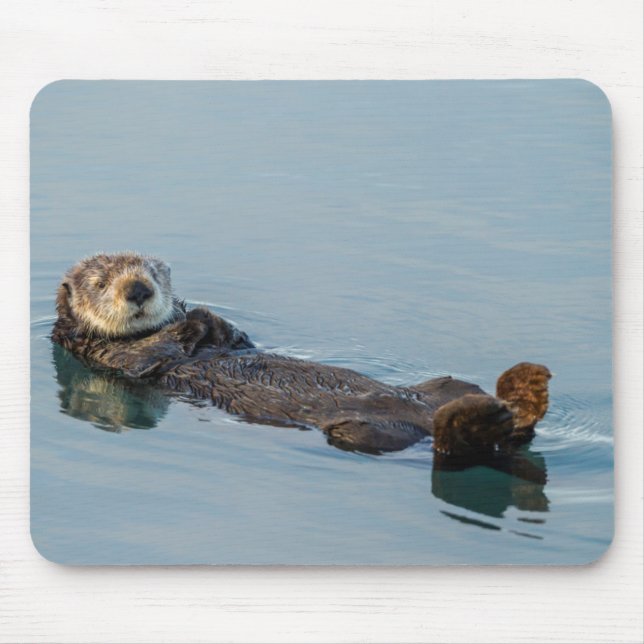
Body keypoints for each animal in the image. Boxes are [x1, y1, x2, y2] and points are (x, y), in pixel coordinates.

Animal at [51, 252, 552, 457]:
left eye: (153, 272)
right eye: (101, 282)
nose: (139, 289)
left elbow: (235, 338)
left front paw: (202, 315)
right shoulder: (110, 357)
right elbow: (151, 354)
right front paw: (189, 322)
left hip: (444, 386)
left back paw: (525, 391)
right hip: (363, 434)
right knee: (457, 446)